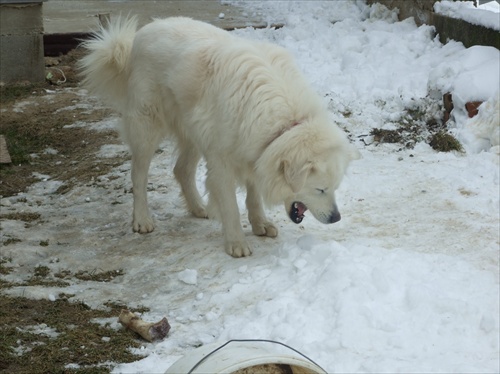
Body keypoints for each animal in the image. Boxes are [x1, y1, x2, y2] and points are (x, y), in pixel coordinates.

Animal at [79, 16, 360, 258]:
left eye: (334, 188)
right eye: (320, 189)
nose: (336, 218)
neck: (285, 123)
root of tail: (140, 34)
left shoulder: (254, 153)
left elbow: (253, 196)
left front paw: (260, 223)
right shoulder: (223, 163)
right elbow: (231, 207)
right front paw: (236, 243)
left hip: (193, 132)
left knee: (182, 170)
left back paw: (198, 208)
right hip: (146, 129)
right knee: (138, 175)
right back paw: (142, 219)